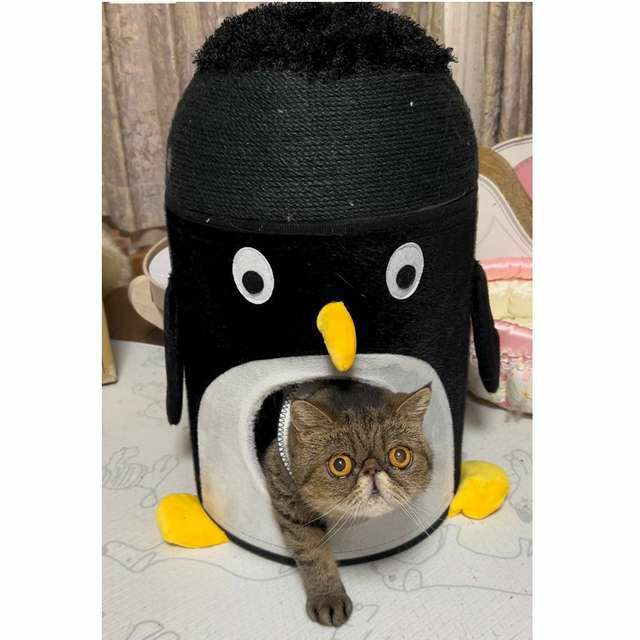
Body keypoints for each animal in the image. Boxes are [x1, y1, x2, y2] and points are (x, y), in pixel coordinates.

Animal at [262, 380, 433, 627]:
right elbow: (313, 553)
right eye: (339, 464)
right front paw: (328, 596)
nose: (372, 469)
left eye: (400, 456)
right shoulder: (288, 500)